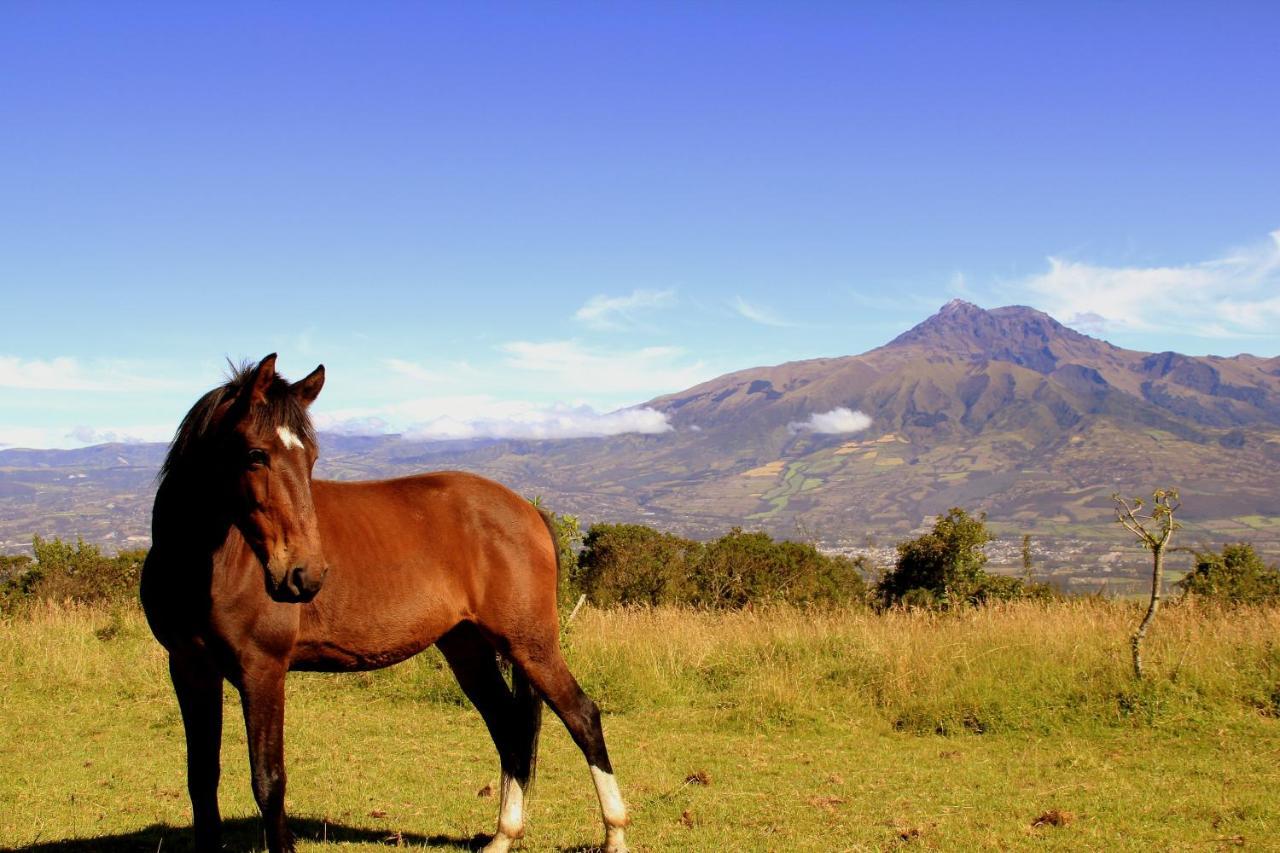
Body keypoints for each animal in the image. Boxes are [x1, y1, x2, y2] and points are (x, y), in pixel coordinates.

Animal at [141, 356, 629, 850]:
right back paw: (502, 837)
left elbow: (268, 779)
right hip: (468, 647)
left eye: (310, 458)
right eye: (256, 455)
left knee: (582, 717)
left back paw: (614, 834)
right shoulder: (190, 668)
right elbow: (202, 776)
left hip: (529, 643)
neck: (206, 565)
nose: (304, 574)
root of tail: (527, 510)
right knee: (509, 728)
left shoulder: (262, 670)